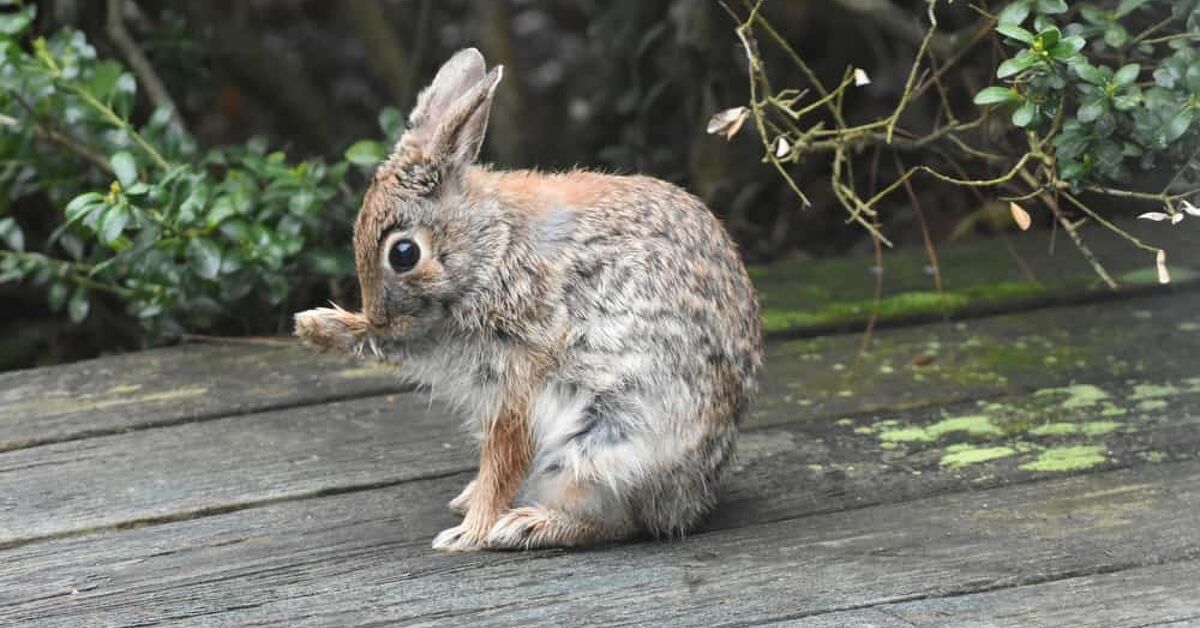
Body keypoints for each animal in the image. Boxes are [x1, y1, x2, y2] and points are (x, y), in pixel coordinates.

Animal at [294, 48, 763, 552]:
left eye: (404, 254)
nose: (383, 319)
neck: (492, 245)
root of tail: (691, 500)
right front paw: (318, 326)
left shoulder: (516, 378)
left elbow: (504, 458)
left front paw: (468, 534)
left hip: (606, 443)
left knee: (624, 521)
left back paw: (527, 525)